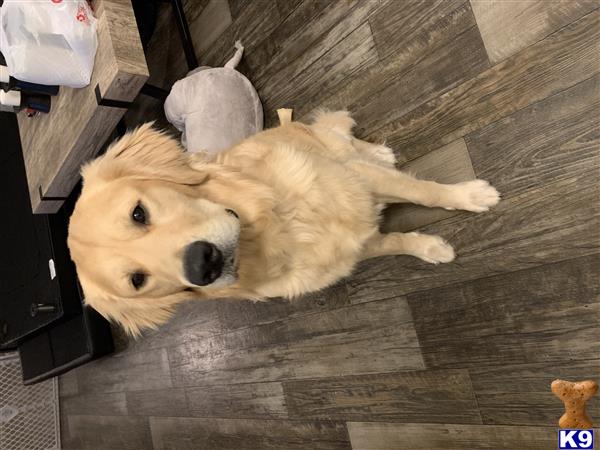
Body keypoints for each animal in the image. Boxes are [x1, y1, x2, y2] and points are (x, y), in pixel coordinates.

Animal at [68, 110, 500, 334]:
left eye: (138, 213)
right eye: (137, 281)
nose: (203, 264)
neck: (282, 225)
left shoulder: (361, 181)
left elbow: (423, 191)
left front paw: (470, 196)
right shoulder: (358, 247)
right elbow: (397, 241)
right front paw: (430, 248)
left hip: (331, 145)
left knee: (342, 137)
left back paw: (377, 150)